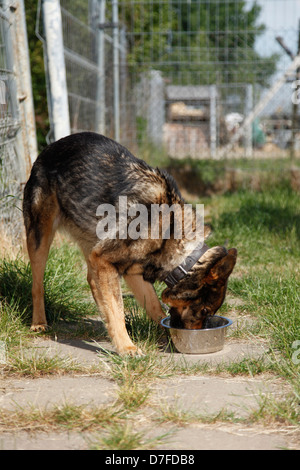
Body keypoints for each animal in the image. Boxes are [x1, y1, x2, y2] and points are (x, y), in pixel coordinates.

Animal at [23, 130, 237, 354]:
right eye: (204, 310)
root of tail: (50, 147)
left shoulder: (131, 271)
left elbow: (152, 304)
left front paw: (163, 332)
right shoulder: (104, 260)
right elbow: (117, 308)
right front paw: (126, 347)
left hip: (91, 242)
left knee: (93, 281)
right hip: (40, 237)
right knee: (37, 284)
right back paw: (39, 323)